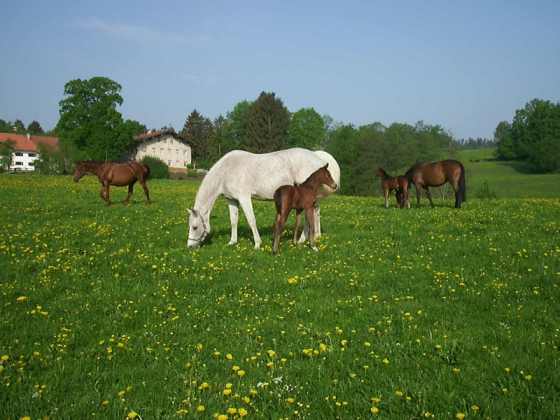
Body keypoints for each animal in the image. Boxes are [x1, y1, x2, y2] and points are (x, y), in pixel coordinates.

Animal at [186, 148, 340, 248]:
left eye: (194, 227)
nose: (190, 246)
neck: (227, 170)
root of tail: (316, 155)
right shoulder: (232, 199)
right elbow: (233, 221)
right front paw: (232, 242)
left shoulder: (244, 197)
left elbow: (251, 220)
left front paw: (257, 244)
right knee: (315, 211)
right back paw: (312, 237)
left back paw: (303, 239)